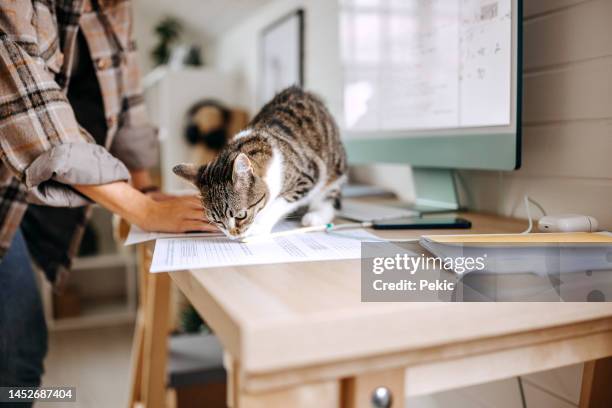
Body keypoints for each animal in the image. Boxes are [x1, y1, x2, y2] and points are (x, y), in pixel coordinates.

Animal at [175, 86, 346, 239]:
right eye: (217, 221)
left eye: (241, 215)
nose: (233, 235)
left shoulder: (307, 174)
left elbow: (279, 203)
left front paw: (259, 226)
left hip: (334, 169)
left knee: (329, 195)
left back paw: (315, 216)